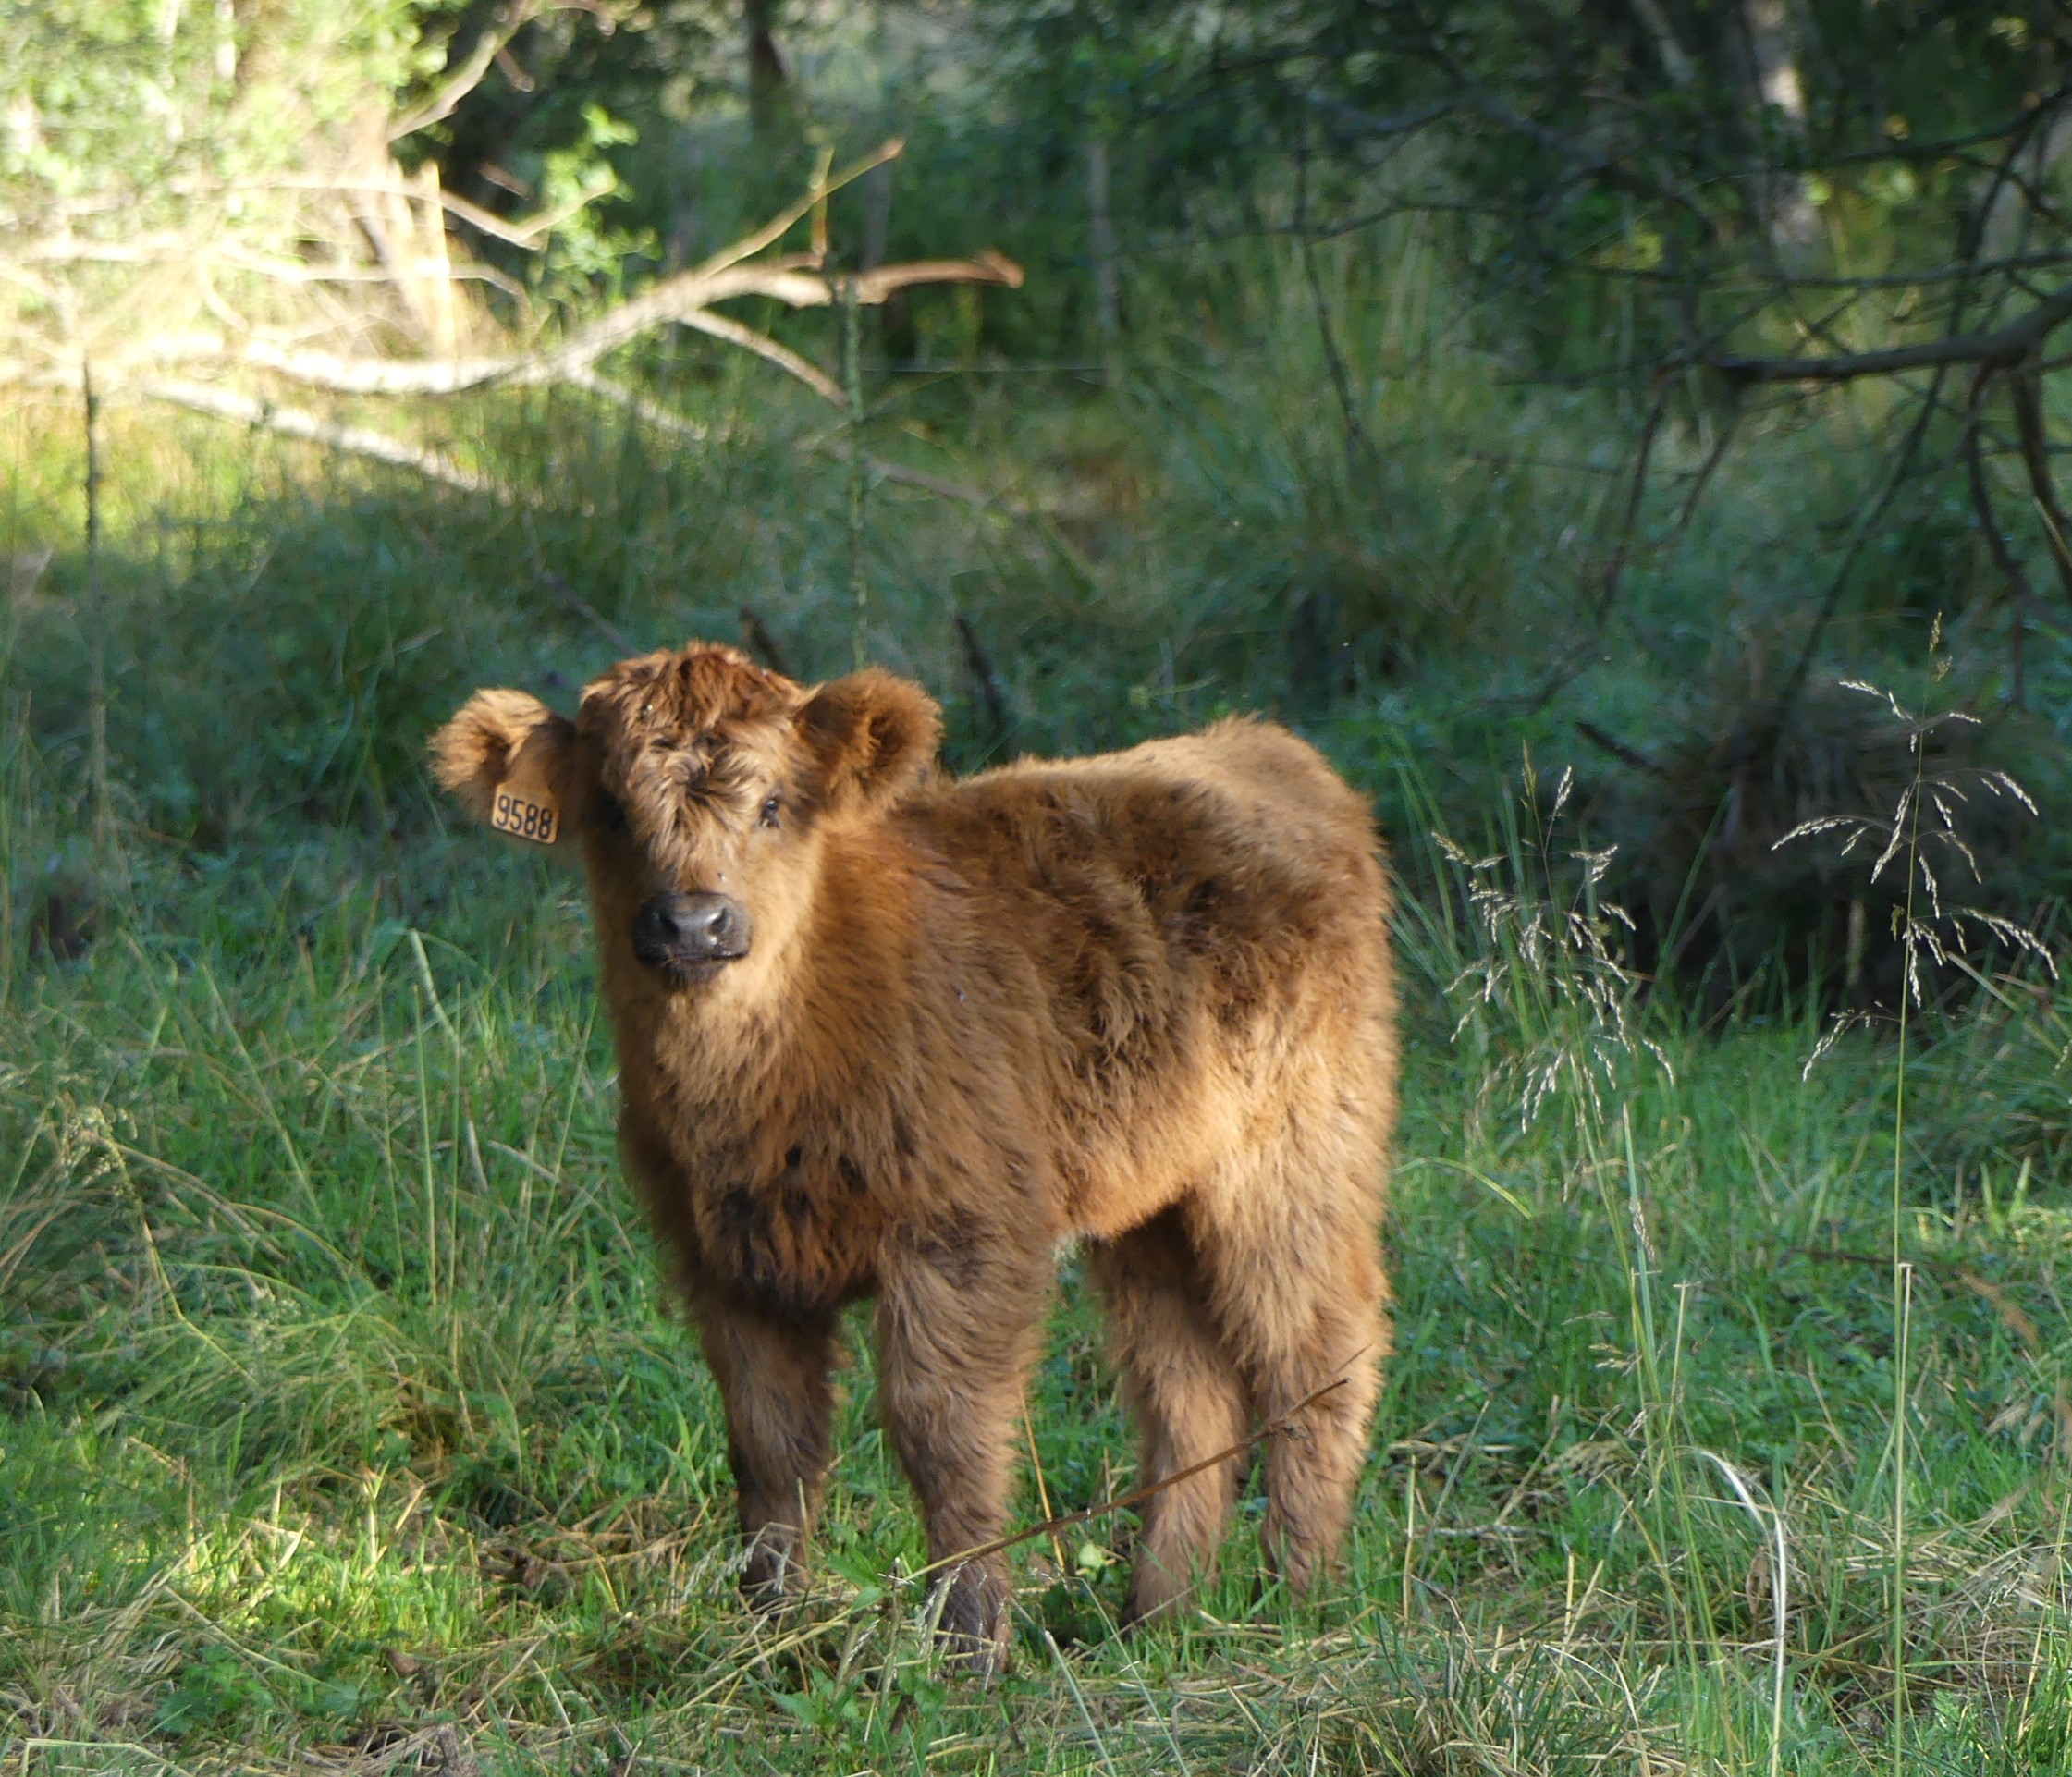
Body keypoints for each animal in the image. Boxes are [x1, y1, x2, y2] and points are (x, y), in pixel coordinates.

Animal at [441, 642, 1408, 1665]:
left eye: (775, 803)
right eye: (612, 810)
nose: (693, 923)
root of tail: (1268, 751)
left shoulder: (960, 1232)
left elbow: (942, 1428)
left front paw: (970, 1642)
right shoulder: (722, 1257)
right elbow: (769, 1440)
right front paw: (768, 1627)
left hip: (1293, 1163)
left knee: (1315, 1355)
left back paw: (1295, 1599)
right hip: (1151, 1203)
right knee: (1187, 1390)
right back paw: (1158, 1615)